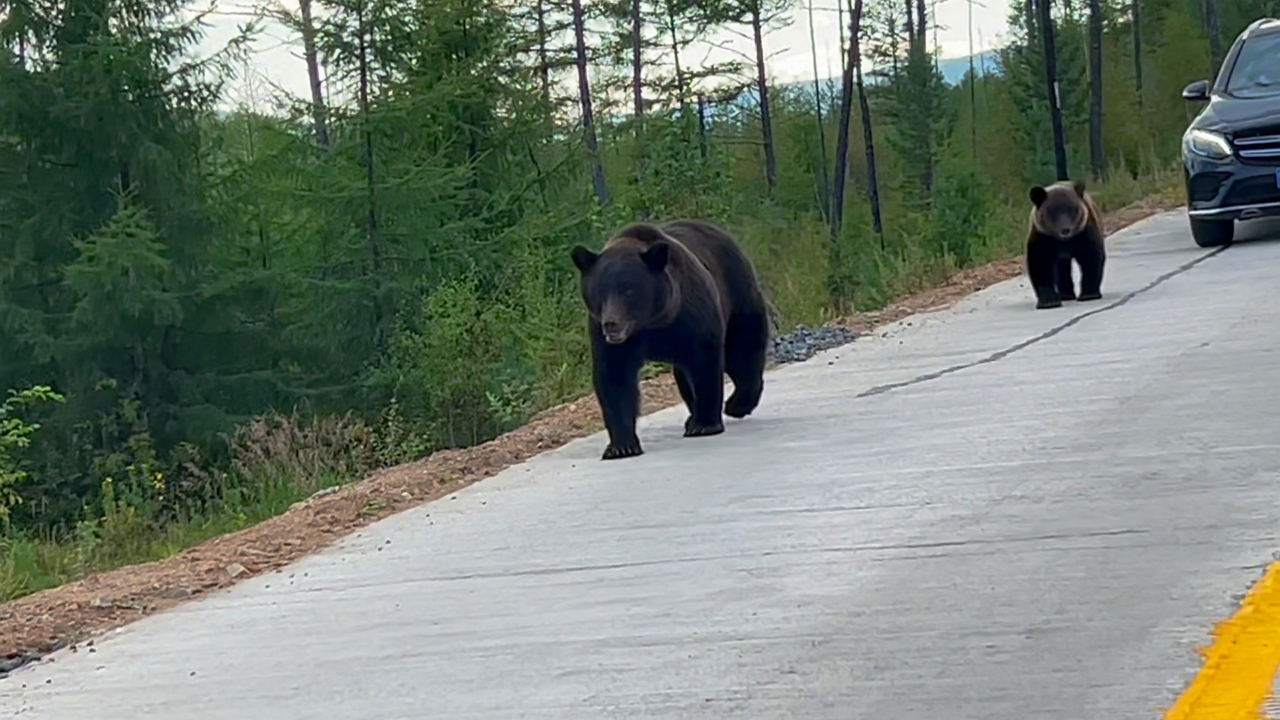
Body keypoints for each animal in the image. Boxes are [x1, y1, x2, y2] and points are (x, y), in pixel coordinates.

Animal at [570, 219, 771, 460]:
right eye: (600, 291)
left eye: (628, 290)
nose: (611, 323)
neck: (653, 321)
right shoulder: (610, 338)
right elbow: (615, 377)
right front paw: (621, 446)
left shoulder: (691, 315)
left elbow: (705, 361)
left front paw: (705, 424)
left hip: (737, 292)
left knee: (742, 347)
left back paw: (736, 404)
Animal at [1025, 180, 1106, 310]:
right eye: (1052, 211)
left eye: (1072, 209)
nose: (1065, 230)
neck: (1064, 242)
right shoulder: (1042, 237)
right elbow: (1040, 265)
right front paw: (1049, 301)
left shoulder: (1084, 232)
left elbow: (1090, 258)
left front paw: (1089, 294)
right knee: (1061, 269)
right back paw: (1065, 295)